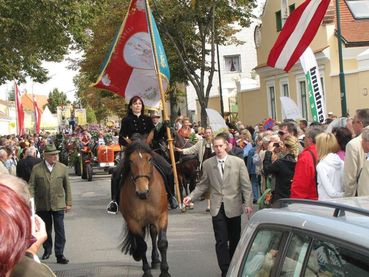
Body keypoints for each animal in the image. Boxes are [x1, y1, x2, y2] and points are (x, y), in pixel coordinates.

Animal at [120, 141, 170, 276]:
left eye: (149, 159)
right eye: (131, 161)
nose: (142, 191)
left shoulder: (162, 217)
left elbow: (162, 243)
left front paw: (165, 271)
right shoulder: (133, 222)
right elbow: (142, 246)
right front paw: (146, 271)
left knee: (153, 234)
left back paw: (156, 260)